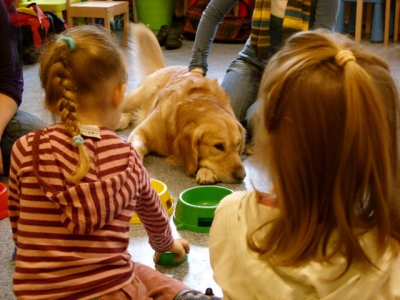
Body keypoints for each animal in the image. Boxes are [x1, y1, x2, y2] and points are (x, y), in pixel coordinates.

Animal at [117, 23, 245, 184]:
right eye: (219, 146)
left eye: (238, 144)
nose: (242, 176)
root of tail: (164, 67)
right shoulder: (141, 132)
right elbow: (136, 147)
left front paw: (206, 171)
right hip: (135, 97)